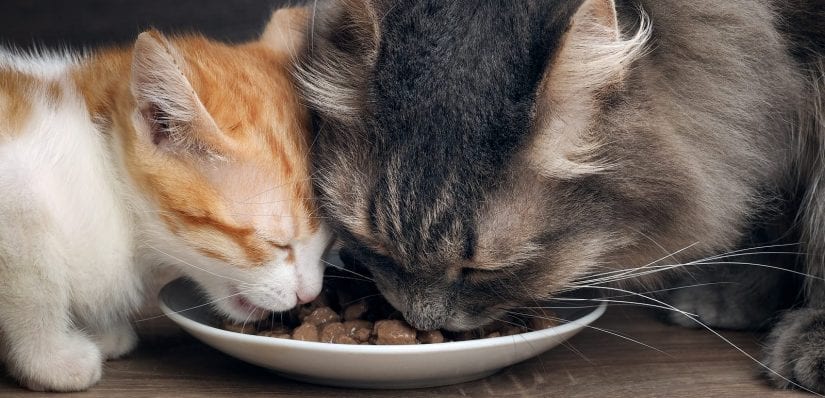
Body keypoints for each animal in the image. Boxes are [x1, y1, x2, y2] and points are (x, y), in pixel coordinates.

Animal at [0, 6, 328, 392]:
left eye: (328, 245)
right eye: (277, 244)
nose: (310, 295)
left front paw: (101, 332)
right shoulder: (17, 190)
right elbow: (35, 286)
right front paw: (50, 358)